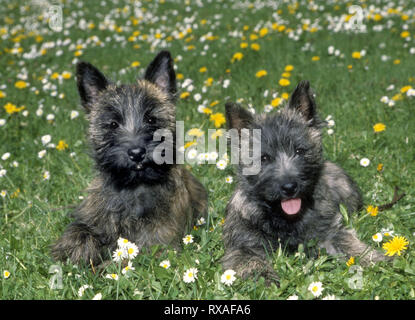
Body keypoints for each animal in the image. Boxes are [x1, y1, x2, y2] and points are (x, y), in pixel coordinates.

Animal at [52, 51, 208, 266]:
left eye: (151, 119)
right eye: (113, 124)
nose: (136, 153)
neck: (134, 187)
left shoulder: (159, 245)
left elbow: (128, 256)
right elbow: (77, 232)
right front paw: (78, 252)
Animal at [223, 80, 388, 284]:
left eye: (300, 151)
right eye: (264, 158)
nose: (289, 187)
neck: (284, 218)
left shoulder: (329, 234)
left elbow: (350, 244)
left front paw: (377, 260)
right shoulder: (242, 245)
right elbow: (251, 261)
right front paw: (265, 278)